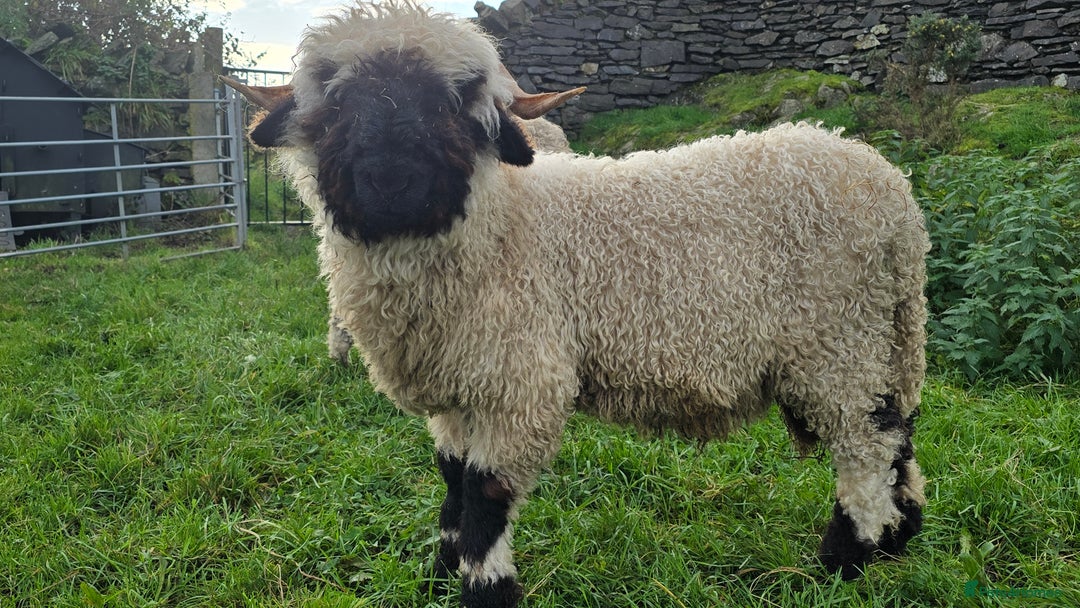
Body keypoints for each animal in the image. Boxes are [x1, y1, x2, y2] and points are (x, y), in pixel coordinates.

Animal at [225, 1, 930, 605]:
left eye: (451, 102)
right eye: (339, 101)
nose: (392, 180)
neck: (499, 225)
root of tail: (896, 199)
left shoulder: (519, 381)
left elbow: (484, 492)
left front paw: (485, 589)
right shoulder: (456, 384)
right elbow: (451, 477)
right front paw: (441, 569)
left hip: (835, 339)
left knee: (866, 445)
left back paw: (846, 558)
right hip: (876, 338)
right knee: (897, 433)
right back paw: (901, 535)